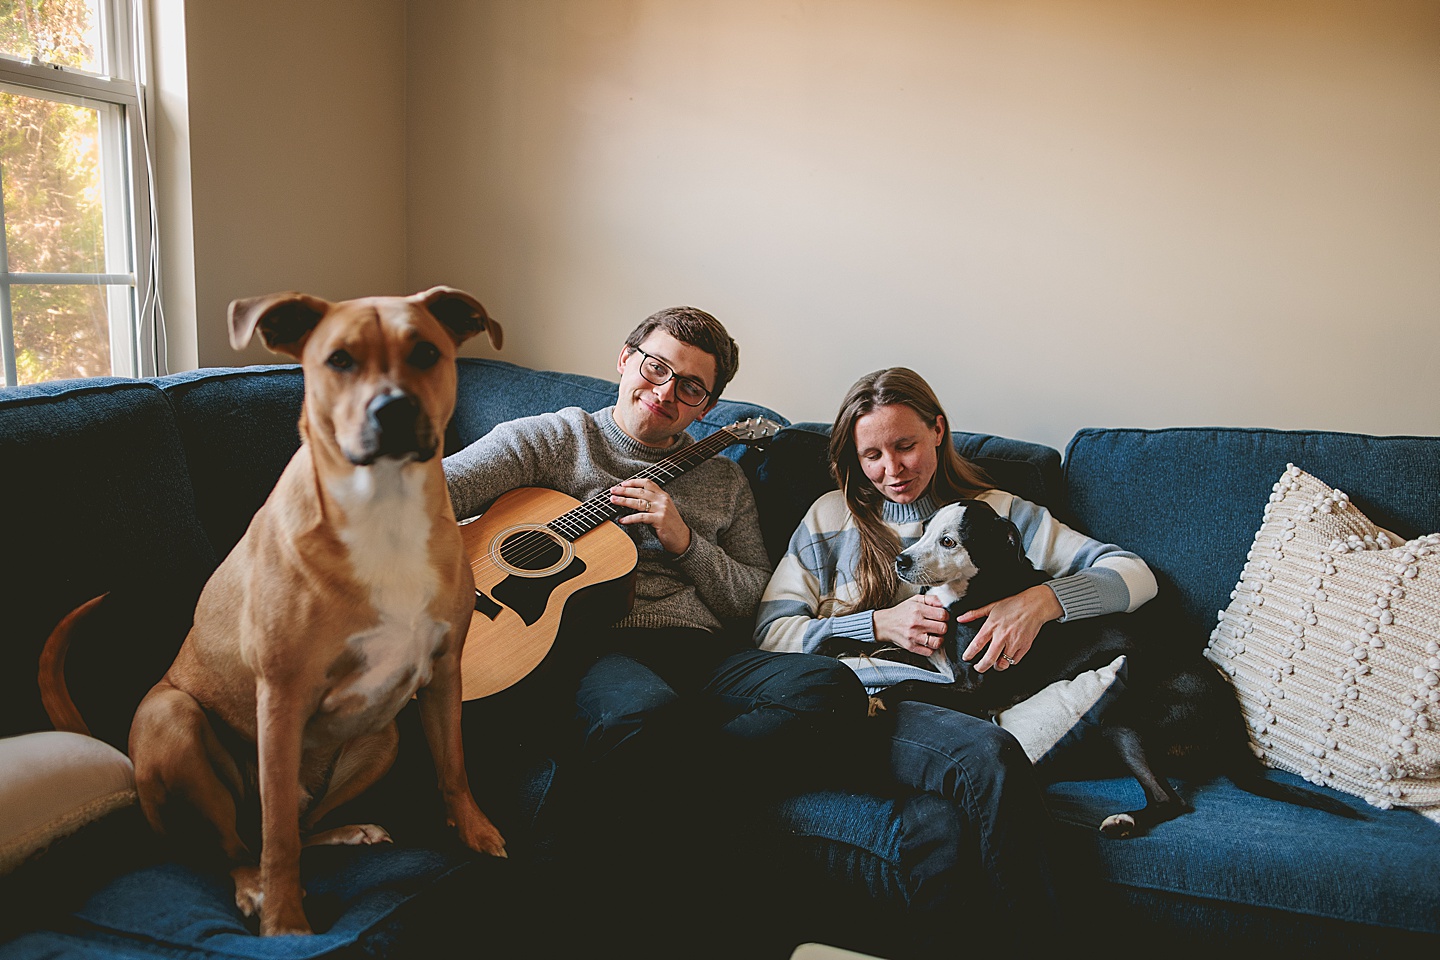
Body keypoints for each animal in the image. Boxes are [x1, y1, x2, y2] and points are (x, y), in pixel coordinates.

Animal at [40, 287, 506, 938]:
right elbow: (277, 838)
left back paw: (346, 830)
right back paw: (252, 887)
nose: (392, 409)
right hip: (173, 718)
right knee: (236, 842)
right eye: (339, 360)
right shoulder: (282, 700)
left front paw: (476, 833)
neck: (384, 514)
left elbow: (454, 766)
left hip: (383, 734)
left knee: (297, 826)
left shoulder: (441, 675)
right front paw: (286, 922)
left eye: (425, 352)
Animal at [817, 500, 1353, 834]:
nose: (902, 561)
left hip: (1123, 723)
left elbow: (909, 681)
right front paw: (840, 646)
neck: (979, 589)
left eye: (949, 541)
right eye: (925, 531)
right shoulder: (944, 663)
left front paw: (879, 699)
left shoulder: (977, 693)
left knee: (1171, 800)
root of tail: (1227, 708)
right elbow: (894, 653)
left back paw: (1125, 822)